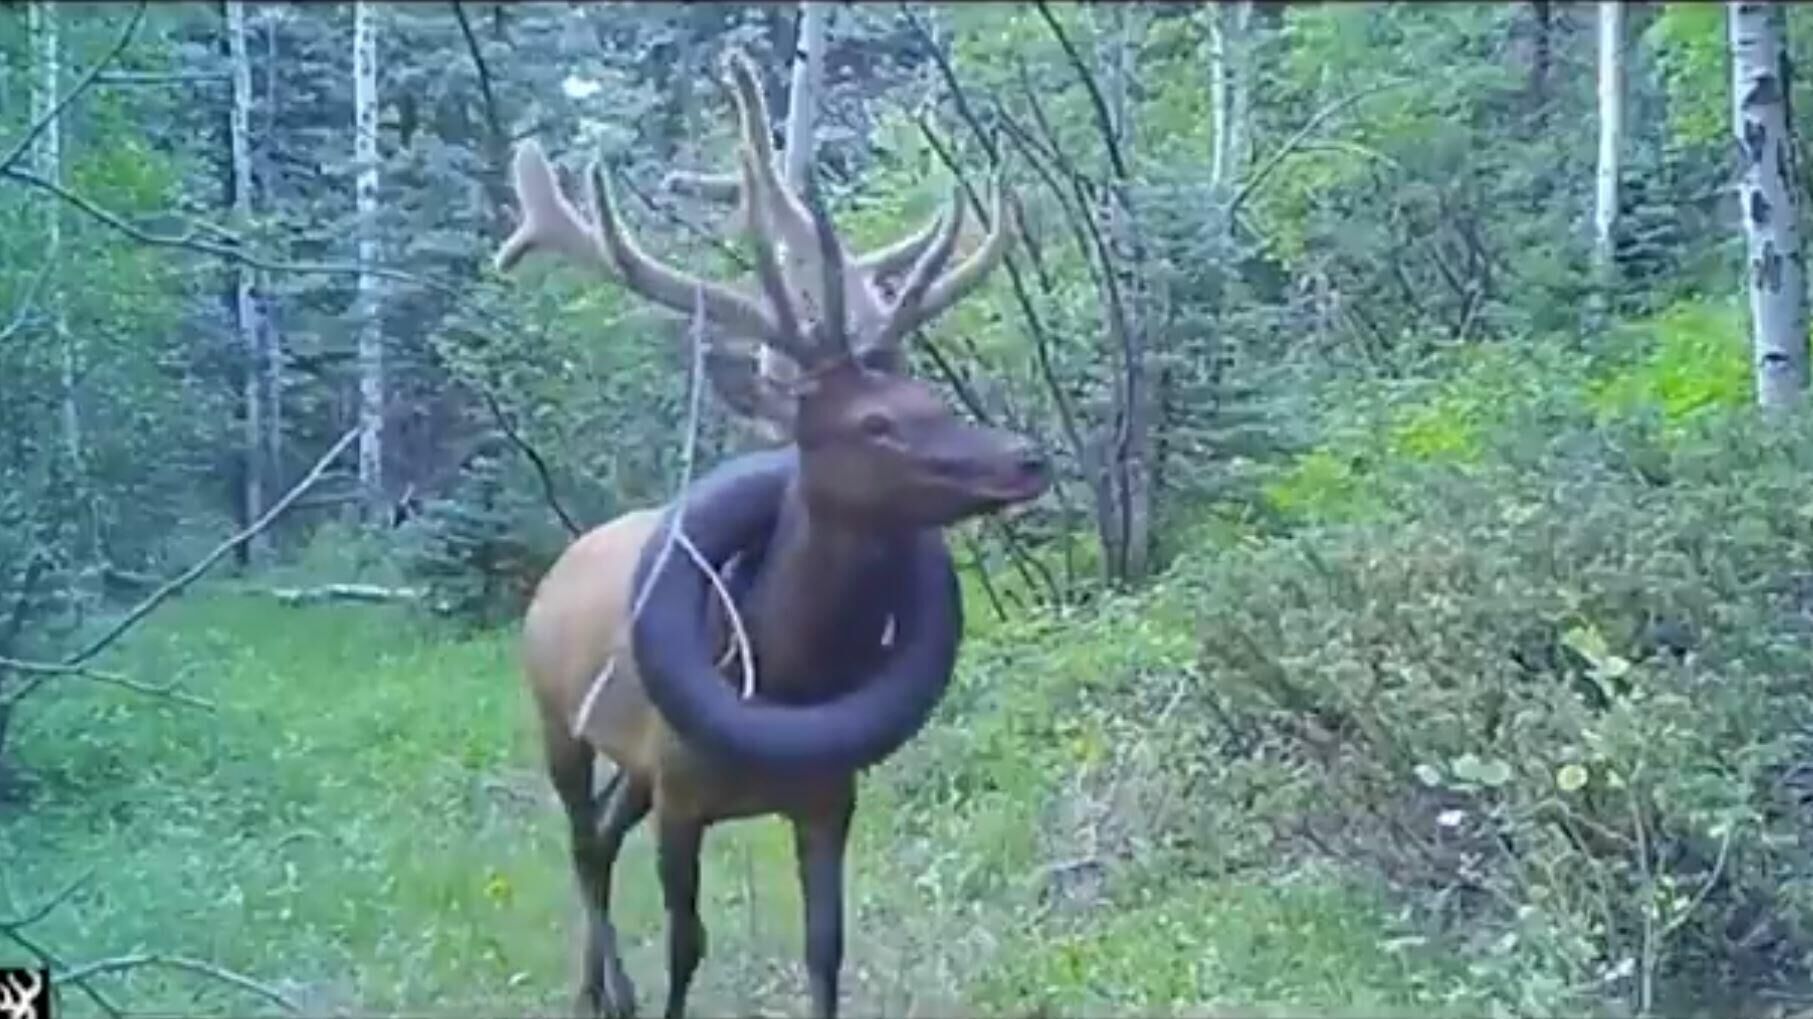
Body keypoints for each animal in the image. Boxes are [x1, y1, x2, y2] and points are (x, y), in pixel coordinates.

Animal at [496, 49, 1051, 1015]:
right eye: (873, 423)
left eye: (929, 397)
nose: (1026, 458)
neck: (783, 672)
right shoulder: (681, 793)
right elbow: (688, 944)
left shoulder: (828, 794)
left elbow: (825, 947)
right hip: (555, 716)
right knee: (580, 839)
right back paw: (611, 988)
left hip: (632, 763)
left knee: (599, 835)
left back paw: (593, 986)